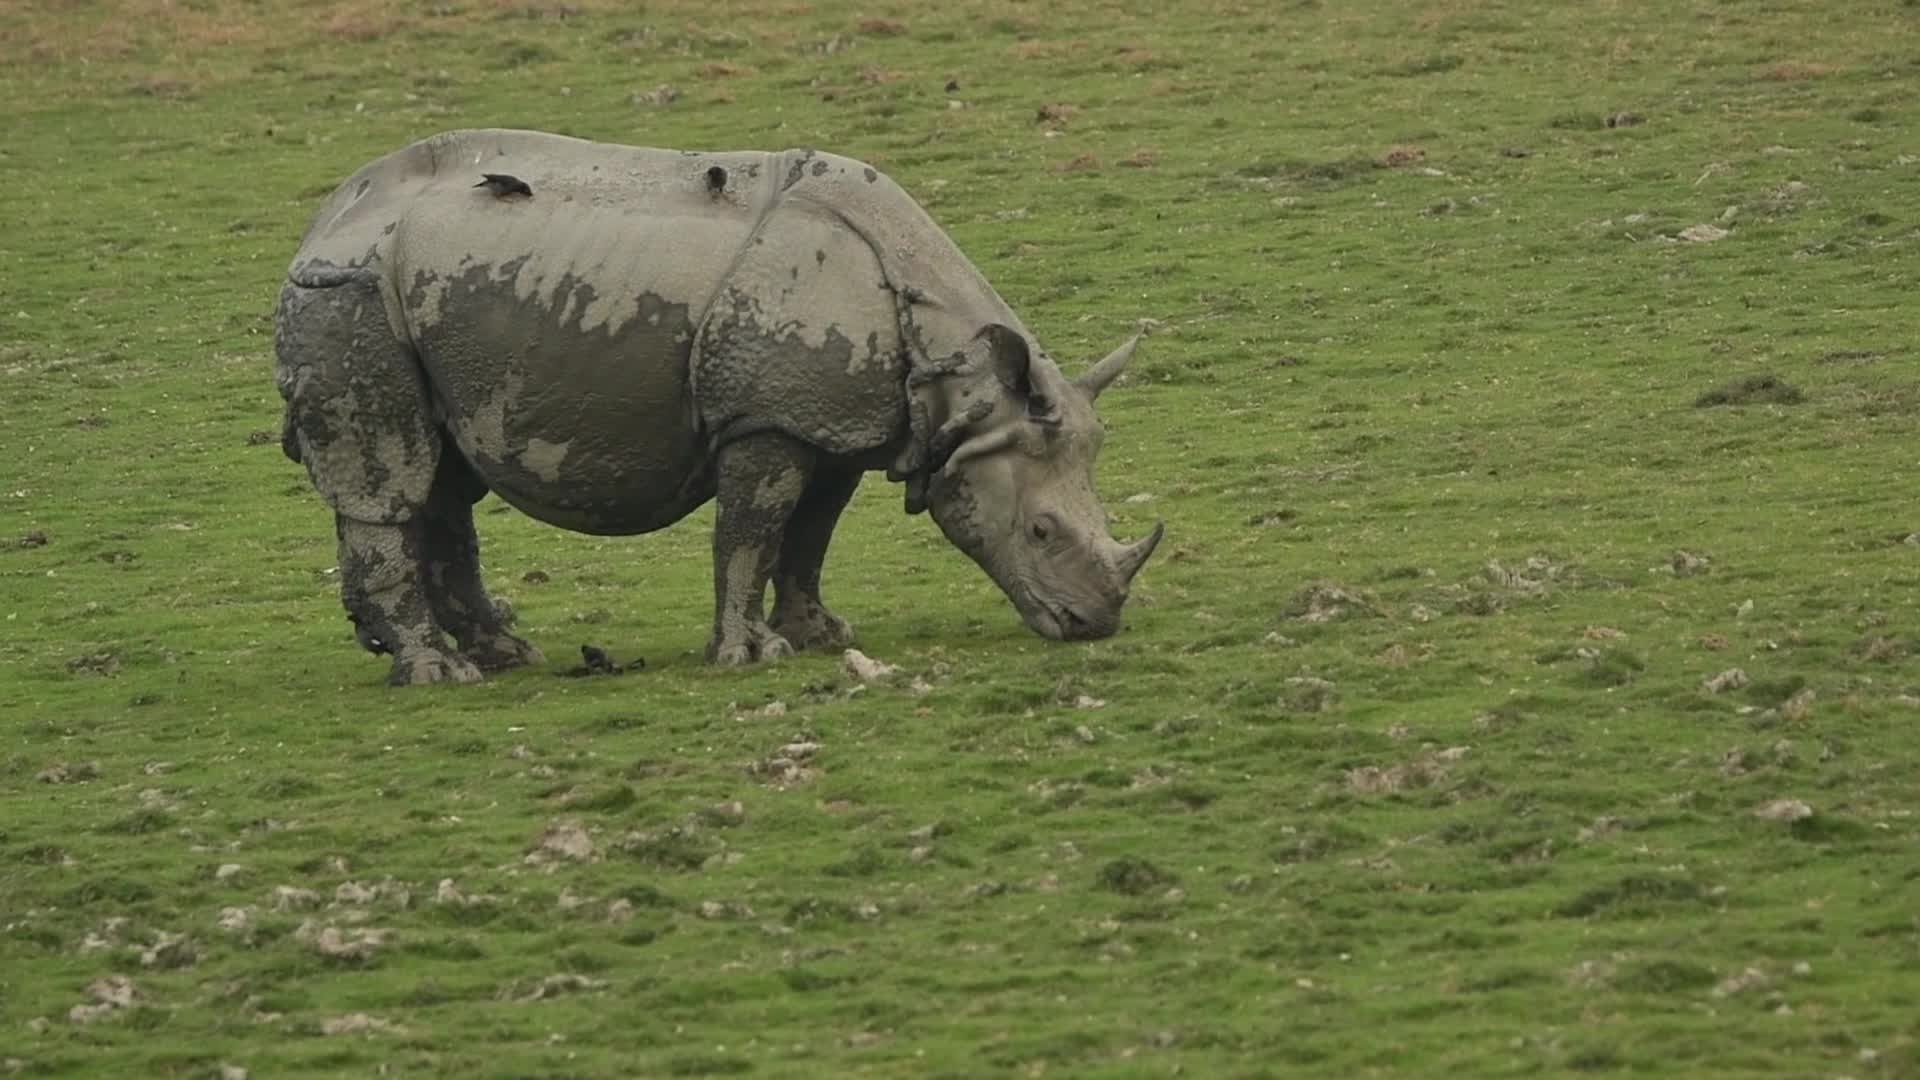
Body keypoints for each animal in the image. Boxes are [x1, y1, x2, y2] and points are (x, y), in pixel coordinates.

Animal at [274, 129, 1162, 685]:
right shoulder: (766, 419)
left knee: (441, 479)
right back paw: (440, 674)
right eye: (1041, 531)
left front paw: (821, 635)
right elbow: (753, 531)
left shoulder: (828, 421)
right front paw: (747, 656)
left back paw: (505, 655)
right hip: (348, 295)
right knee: (389, 475)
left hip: (421, 300)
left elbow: (810, 534)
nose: (1092, 622)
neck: (960, 379)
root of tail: (323, 220)